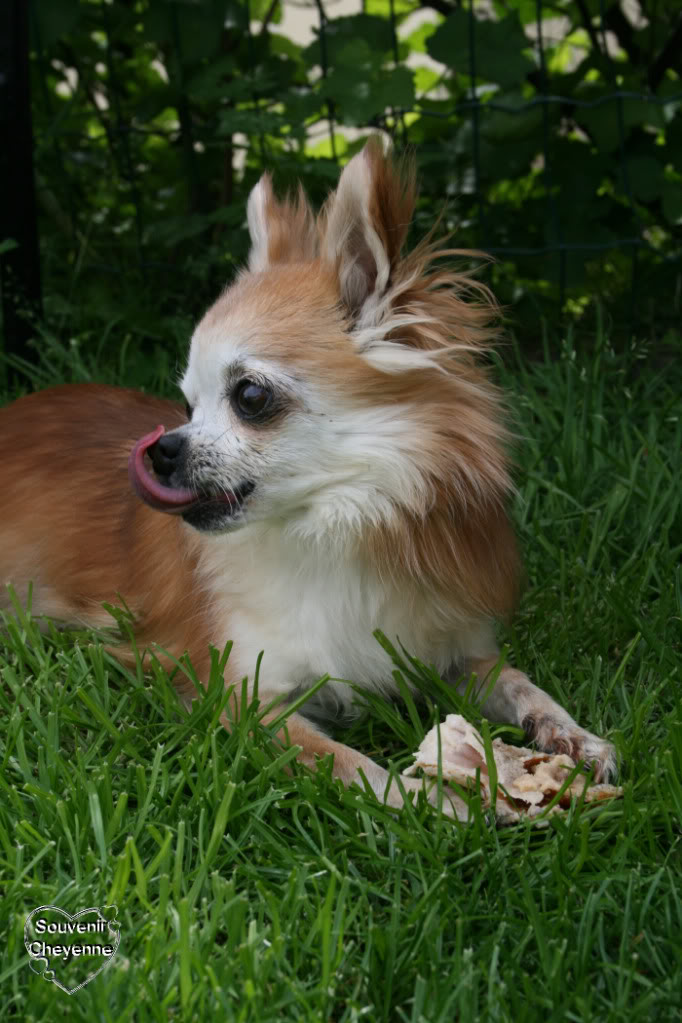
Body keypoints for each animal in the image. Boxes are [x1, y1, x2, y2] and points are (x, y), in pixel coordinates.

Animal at [0, 142, 617, 814]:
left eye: (248, 396)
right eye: (187, 404)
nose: (162, 449)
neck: (336, 524)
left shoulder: (451, 656)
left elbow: (518, 680)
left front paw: (571, 735)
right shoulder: (242, 700)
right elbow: (353, 766)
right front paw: (441, 802)